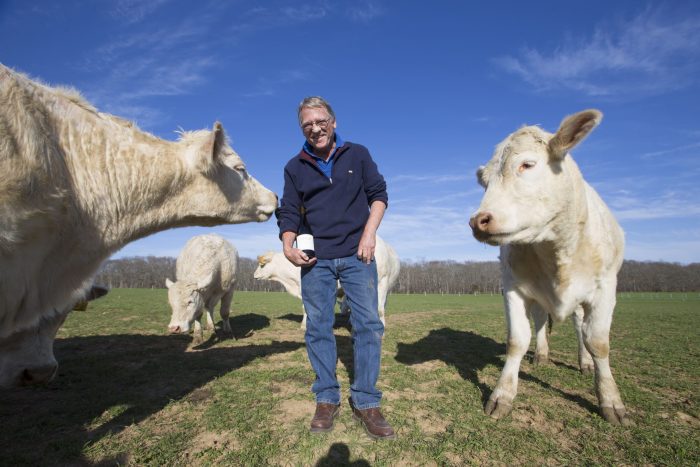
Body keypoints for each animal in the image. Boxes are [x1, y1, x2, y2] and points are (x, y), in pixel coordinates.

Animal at [0, 65, 278, 388]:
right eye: (240, 169)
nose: (274, 196)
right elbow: (202, 313)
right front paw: (199, 334)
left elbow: (220, 309)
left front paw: (224, 331)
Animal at [256, 236, 400, 330]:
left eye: (262, 265)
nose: (254, 275)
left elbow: (306, 308)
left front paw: (304, 326)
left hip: (382, 284)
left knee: (379, 308)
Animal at [470, 111, 628, 426]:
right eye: (485, 181)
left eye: (527, 164)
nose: (478, 221)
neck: (554, 248)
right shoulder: (513, 287)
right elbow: (517, 340)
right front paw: (502, 395)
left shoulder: (605, 289)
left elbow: (598, 342)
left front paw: (610, 400)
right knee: (542, 321)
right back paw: (542, 355)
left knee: (580, 327)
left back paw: (584, 363)